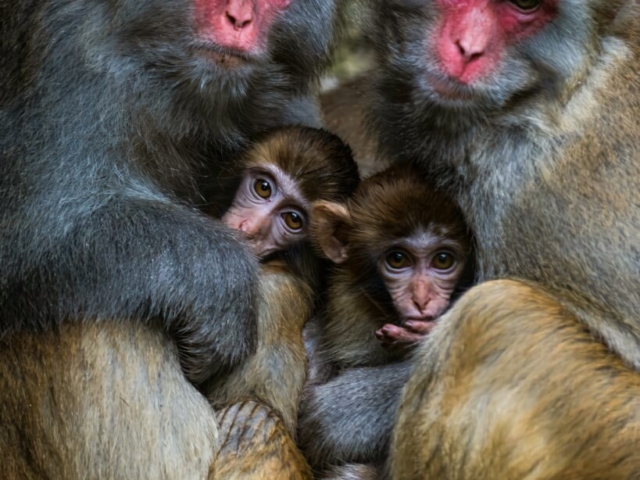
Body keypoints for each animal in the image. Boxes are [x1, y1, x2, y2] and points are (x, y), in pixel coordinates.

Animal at [0, 0, 348, 474]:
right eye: (261, 188)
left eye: (292, 218)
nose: (239, 19)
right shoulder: (65, 54)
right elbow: (31, 231)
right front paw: (219, 279)